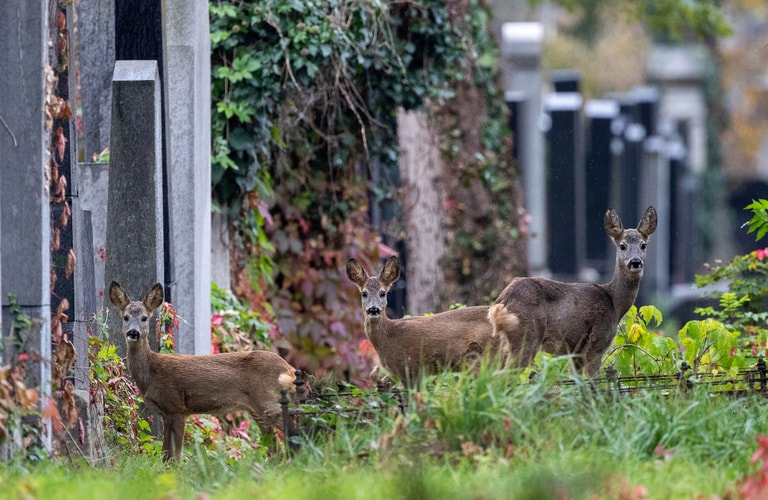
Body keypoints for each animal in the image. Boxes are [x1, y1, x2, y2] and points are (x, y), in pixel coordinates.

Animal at [109, 282, 296, 460]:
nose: (133, 333)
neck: (151, 372)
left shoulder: (177, 407)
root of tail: (289, 369)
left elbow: (176, 456)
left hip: (268, 401)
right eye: (125, 317)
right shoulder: (166, 414)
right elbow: (165, 455)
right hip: (259, 410)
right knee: (276, 448)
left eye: (144, 318)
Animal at [346, 258, 504, 382]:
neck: (388, 336)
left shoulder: (409, 367)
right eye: (364, 293)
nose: (373, 309)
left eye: (383, 293)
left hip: (485, 357)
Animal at [488, 204, 656, 376]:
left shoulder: (576, 352)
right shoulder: (597, 341)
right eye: (622, 246)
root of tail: (501, 302)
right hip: (527, 335)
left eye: (643, 245)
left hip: (502, 344)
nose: (635, 262)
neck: (614, 303)